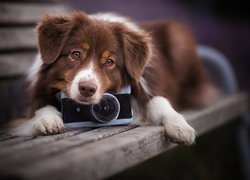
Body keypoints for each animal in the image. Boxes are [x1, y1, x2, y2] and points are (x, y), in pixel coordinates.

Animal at [10, 11, 216, 146]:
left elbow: (159, 101)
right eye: (75, 54)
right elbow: (41, 107)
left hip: (178, 36)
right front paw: (48, 120)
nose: (87, 89)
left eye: (110, 61)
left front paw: (180, 127)